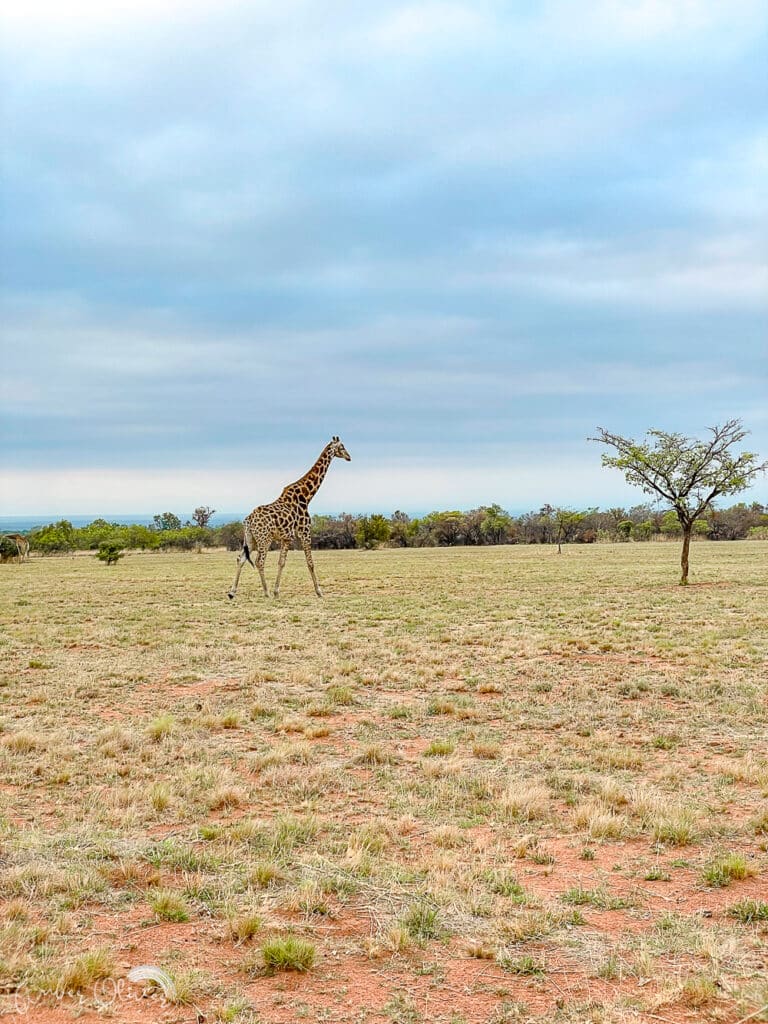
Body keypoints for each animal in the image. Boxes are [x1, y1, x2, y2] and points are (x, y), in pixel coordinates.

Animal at [227, 434, 350, 598]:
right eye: (342, 446)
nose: (349, 457)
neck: (307, 496)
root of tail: (248, 520)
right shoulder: (305, 532)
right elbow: (310, 562)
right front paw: (319, 591)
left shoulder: (286, 538)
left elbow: (281, 562)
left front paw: (277, 591)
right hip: (264, 539)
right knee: (259, 561)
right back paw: (266, 592)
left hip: (250, 539)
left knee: (240, 559)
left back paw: (232, 592)